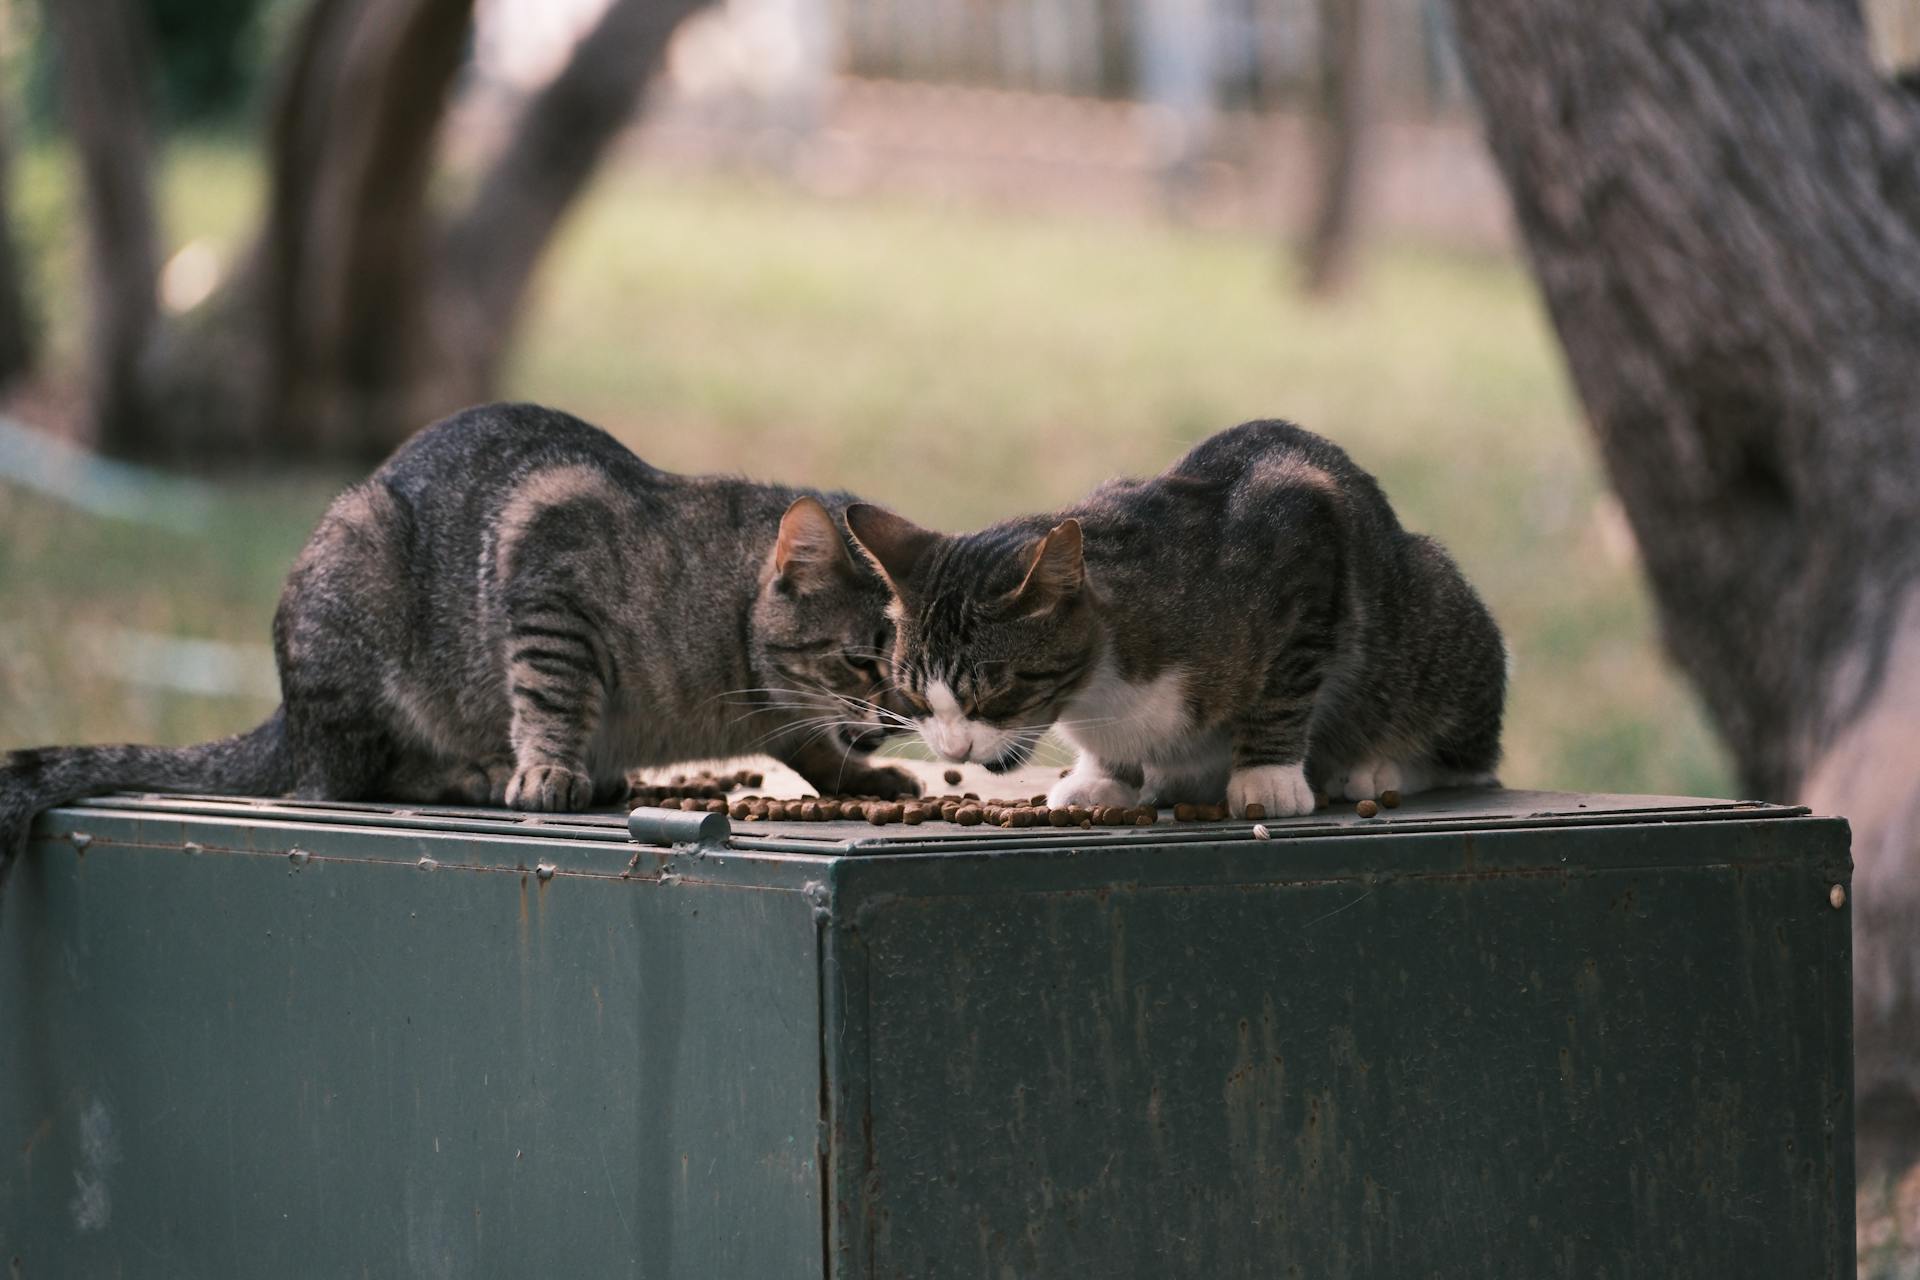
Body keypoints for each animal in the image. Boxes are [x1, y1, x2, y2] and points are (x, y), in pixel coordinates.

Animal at [0, 401, 913, 882]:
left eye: (921, 674)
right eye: (861, 660)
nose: (902, 719)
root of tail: (288, 716)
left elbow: (814, 744)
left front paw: (862, 773)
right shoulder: (549, 580)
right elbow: (553, 693)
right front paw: (548, 769)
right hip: (357, 575)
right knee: (345, 781)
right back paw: (477, 772)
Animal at [848, 420, 1505, 821]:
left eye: (995, 693)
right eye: (916, 697)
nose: (955, 750)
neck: (1099, 687)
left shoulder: (1304, 537)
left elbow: (1284, 688)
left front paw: (1267, 777)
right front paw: (1102, 775)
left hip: (1431, 619)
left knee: (1468, 758)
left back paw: (1379, 767)